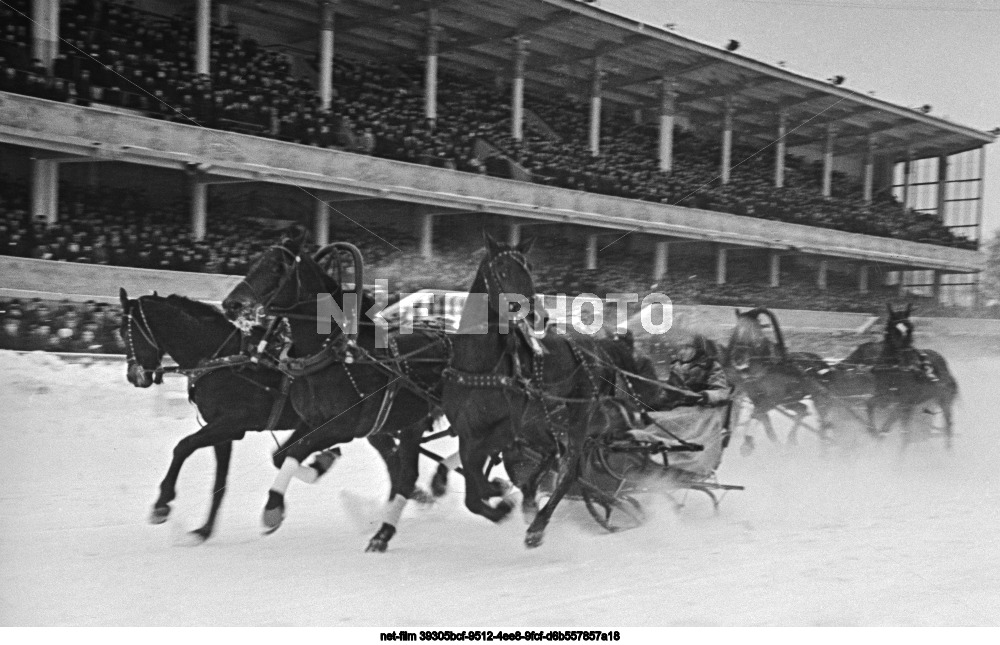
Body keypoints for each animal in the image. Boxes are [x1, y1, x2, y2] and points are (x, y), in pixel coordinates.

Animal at [119, 290, 328, 540]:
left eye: (127, 332)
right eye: (121, 333)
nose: (134, 376)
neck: (224, 361)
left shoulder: (231, 424)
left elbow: (182, 447)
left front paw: (162, 503)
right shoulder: (223, 432)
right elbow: (219, 482)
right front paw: (204, 530)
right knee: (285, 453)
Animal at [225, 229, 452, 552]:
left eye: (276, 267)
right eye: (254, 261)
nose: (231, 305)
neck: (330, 353)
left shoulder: (341, 426)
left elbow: (296, 451)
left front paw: (272, 508)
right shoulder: (312, 421)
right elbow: (281, 455)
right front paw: (320, 465)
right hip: (404, 424)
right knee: (402, 471)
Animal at [444, 234, 616, 544]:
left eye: (530, 268)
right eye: (502, 271)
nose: (538, 316)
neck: (480, 367)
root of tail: (597, 348)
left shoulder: (504, 430)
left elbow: (478, 472)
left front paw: (498, 493)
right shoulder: (467, 430)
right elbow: (472, 492)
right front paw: (499, 497)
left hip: (576, 415)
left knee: (569, 469)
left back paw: (537, 524)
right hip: (540, 419)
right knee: (552, 452)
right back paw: (528, 501)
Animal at [724, 306, 832, 448]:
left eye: (754, 333)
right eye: (736, 331)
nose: (738, 358)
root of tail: (823, 362)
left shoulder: (772, 400)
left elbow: (756, 414)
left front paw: (747, 444)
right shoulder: (758, 400)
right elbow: (766, 423)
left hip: (817, 397)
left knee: (822, 415)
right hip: (789, 401)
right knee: (802, 409)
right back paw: (791, 440)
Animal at [844, 304, 960, 446]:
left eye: (910, 328)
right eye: (893, 330)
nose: (906, 355)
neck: (893, 371)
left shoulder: (903, 402)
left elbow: (890, 425)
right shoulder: (883, 398)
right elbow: (870, 407)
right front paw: (874, 432)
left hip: (943, 400)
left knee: (947, 424)